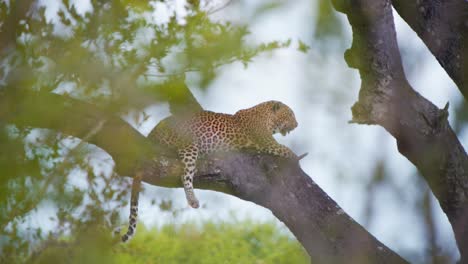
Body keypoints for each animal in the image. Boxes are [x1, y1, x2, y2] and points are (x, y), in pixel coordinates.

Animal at [119, 100, 298, 241]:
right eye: (290, 114)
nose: (297, 125)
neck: (265, 116)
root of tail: (152, 134)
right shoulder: (267, 142)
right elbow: (286, 150)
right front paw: (296, 158)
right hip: (189, 146)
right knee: (185, 175)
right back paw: (192, 200)